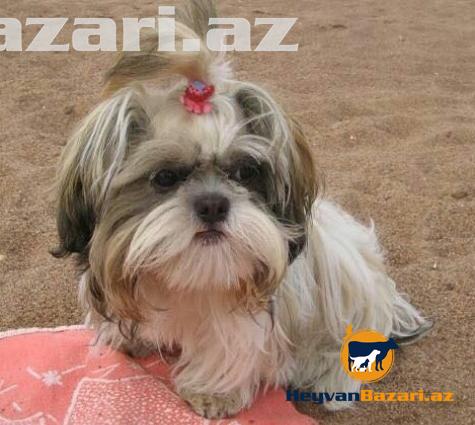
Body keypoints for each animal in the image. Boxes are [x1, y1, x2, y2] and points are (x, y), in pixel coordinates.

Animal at [53, 0, 432, 418]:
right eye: (165, 177)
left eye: (245, 172)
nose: (213, 204)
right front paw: (127, 337)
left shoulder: (246, 320)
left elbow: (228, 348)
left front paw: (212, 393)